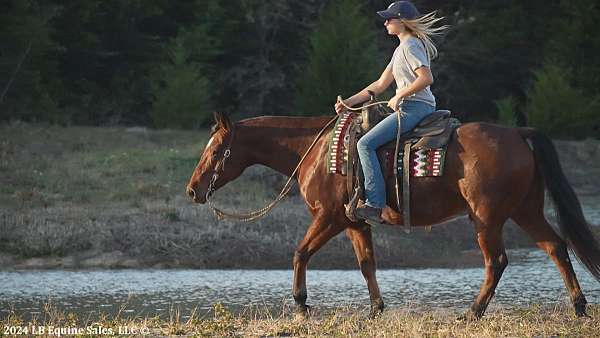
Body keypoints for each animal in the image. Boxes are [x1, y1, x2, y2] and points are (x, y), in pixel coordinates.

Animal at [186, 111, 600, 320]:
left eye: (216, 150)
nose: (193, 190)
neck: (315, 152)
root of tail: (517, 133)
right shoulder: (354, 222)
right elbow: (367, 264)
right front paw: (375, 309)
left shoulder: (330, 218)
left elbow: (300, 252)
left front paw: (302, 303)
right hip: (525, 210)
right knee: (556, 247)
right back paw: (579, 307)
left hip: (488, 218)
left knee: (497, 261)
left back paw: (472, 312)